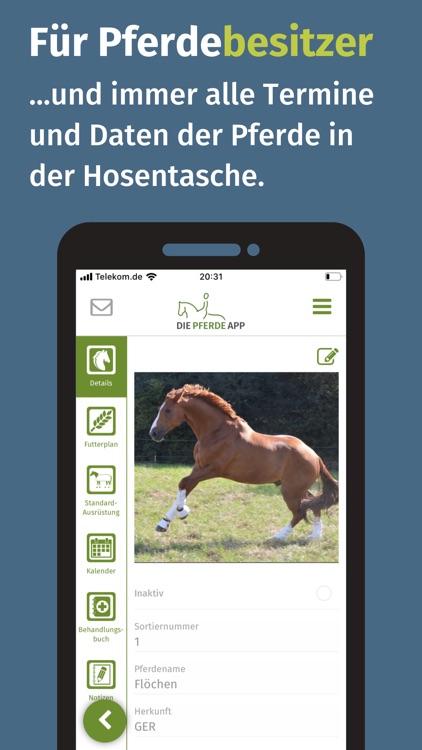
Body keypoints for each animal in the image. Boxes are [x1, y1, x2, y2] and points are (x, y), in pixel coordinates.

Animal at [149, 384, 338, 541]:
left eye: (168, 410)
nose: (153, 433)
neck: (217, 432)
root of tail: (315, 455)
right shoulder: (199, 467)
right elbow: (185, 487)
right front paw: (163, 523)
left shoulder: (213, 469)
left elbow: (183, 482)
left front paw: (183, 512)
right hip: (297, 489)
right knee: (314, 504)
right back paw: (314, 536)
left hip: (290, 491)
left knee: (300, 512)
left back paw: (276, 537)